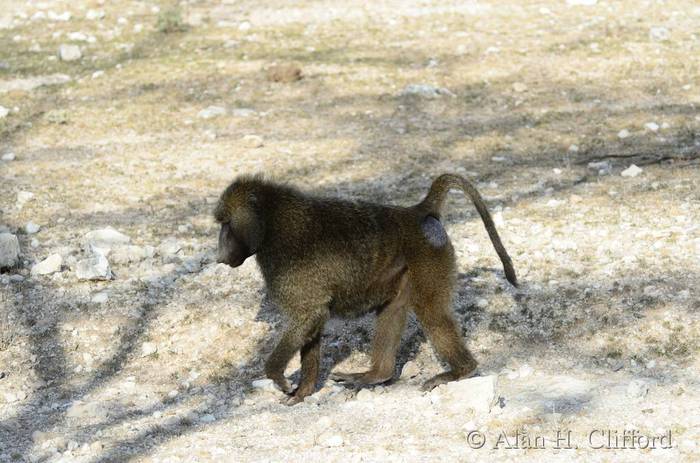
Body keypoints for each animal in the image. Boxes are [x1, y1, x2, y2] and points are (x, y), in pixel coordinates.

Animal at [214, 173, 517, 404]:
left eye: (226, 224)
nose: (219, 255)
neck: (272, 222)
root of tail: (416, 212)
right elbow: (313, 321)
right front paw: (303, 391)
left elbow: (308, 315)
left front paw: (277, 375)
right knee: (392, 310)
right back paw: (376, 374)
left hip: (430, 259)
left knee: (431, 312)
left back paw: (459, 371)